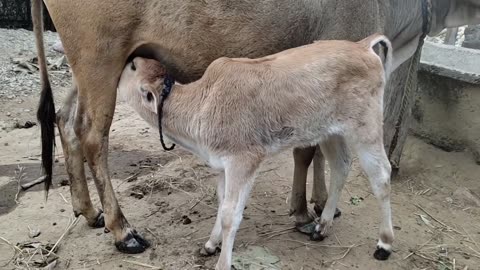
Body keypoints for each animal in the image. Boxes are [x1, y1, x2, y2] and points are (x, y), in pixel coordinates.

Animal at [117, 34, 394, 268]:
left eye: (133, 68)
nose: (130, 58)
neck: (202, 104)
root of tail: (362, 45)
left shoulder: (243, 161)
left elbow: (231, 215)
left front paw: (222, 263)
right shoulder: (223, 166)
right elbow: (222, 204)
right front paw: (211, 244)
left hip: (366, 127)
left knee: (381, 175)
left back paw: (384, 243)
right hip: (330, 131)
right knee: (340, 166)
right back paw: (322, 226)